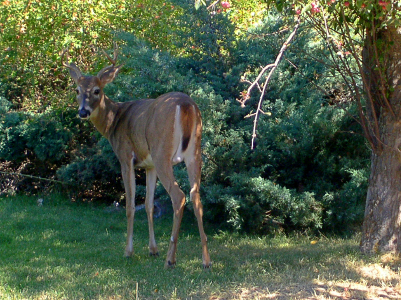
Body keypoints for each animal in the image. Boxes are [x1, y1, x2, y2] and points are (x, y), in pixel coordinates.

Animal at [61, 45, 211, 270]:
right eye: (77, 91)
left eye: (97, 90)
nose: (83, 112)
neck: (113, 121)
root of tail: (186, 105)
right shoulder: (149, 166)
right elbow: (148, 205)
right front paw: (153, 249)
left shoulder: (125, 158)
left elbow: (131, 206)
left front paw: (129, 251)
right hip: (194, 152)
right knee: (196, 196)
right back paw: (206, 260)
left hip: (162, 152)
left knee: (179, 196)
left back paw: (171, 259)